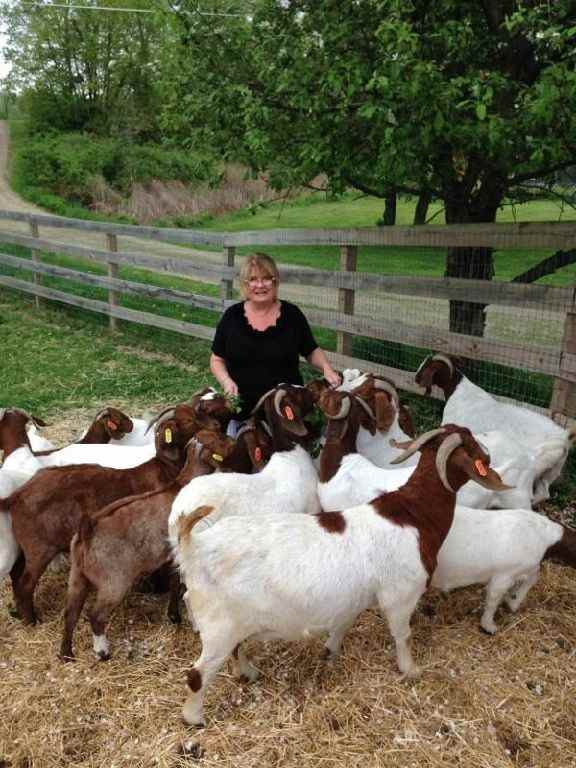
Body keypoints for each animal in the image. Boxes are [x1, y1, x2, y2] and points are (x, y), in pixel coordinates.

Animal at [173, 424, 506, 724]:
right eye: (472, 447)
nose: (490, 457)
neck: (414, 514)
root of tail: (194, 548)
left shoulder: (353, 598)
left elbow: (343, 624)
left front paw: (330, 650)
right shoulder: (400, 595)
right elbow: (402, 635)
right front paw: (410, 669)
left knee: (235, 649)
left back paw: (248, 672)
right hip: (219, 627)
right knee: (196, 675)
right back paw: (194, 718)